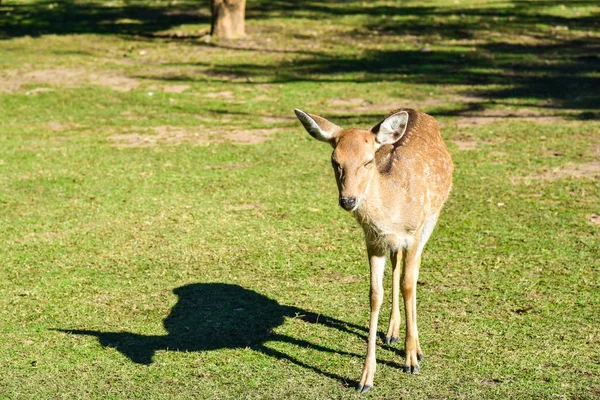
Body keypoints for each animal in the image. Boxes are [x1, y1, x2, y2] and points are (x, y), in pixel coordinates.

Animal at [292, 108, 452, 392]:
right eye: (335, 161)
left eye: (368, 161)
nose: (348, 200)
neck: (392, 212)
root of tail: (417, 111)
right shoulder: (373, 241)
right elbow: (374, 295)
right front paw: (366, 378)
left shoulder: (413, 233)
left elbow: (408, 285)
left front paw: (411, 360)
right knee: (397, 264)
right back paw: (391, 333)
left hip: (431, 219)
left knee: (411, 275)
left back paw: (414, 347)